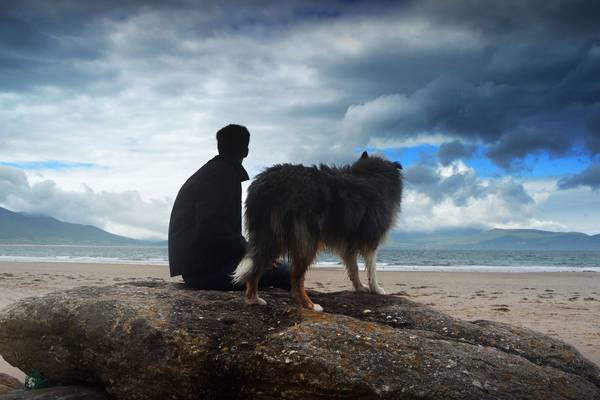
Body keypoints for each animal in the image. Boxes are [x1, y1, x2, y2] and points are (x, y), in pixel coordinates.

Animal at [233, 152, 404, 310]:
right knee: (296, 277)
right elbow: (372, 269)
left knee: (256, 266)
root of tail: (267, 183)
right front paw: (377, 289)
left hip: (269, 234)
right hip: (305, 238)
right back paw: (310, 305)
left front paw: (360, 288)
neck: (371, 175)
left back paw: (254, 299)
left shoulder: (348, 245)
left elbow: (353, 269)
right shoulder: (371, 239)